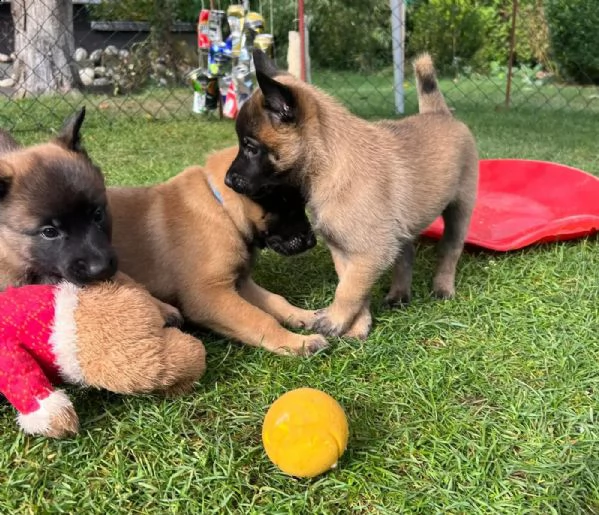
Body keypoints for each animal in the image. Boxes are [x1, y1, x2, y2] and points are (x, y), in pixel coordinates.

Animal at [108, 145, 328, 354]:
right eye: (288, 204)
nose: (312, 241)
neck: (222, 207)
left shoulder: (240, 283)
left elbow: (277, 300)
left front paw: (305, 315)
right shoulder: (209, 294)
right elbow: (259, 318)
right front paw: (298, 342)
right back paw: (165, 311)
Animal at [224, 51, 478, 342]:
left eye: (250, 147)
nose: (227, 180)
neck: (328, 165)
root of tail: (438, 113)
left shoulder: (370, 252)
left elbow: (348, 291)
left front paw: (334, 320)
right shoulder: (346, 251)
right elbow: (353, 288)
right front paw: (358, 326)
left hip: (460, 209)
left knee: (450, 249)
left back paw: (443, 287)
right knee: (405, 256)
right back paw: (399, 294)